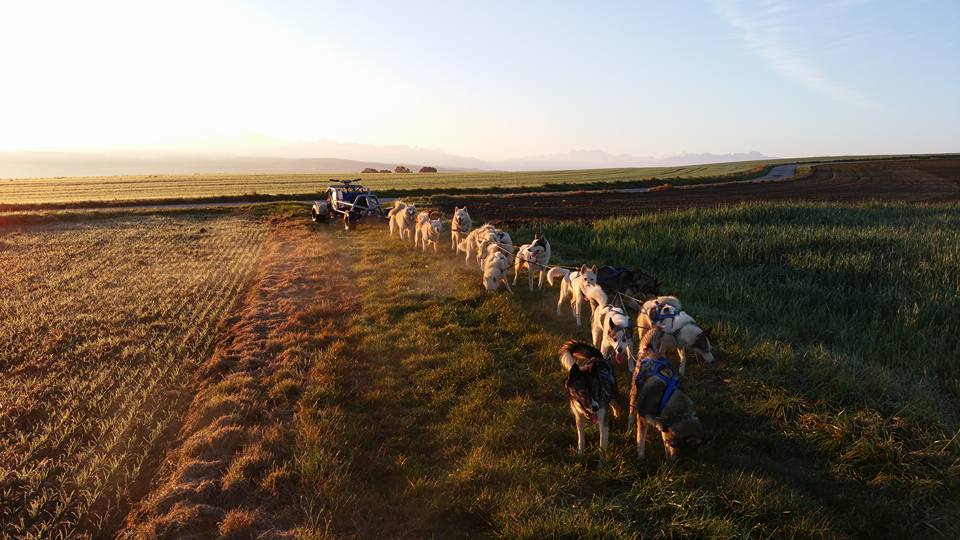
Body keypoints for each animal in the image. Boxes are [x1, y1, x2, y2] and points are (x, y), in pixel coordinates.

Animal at [632, 324, 704, 460]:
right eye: (685, 449)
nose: (675, 462)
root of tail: (650, 350)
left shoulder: (663, 426)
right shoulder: (643, 418)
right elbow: (640, 441)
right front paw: (641, 458)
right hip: (634, 391)